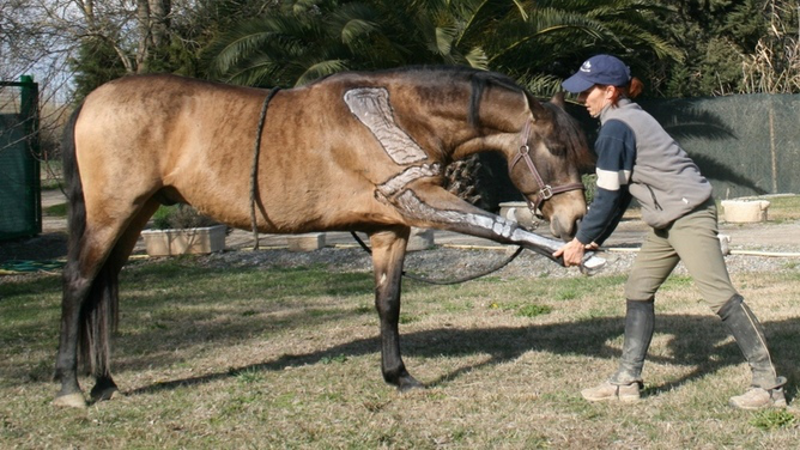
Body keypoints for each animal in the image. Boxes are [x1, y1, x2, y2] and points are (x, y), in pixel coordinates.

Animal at [54, 66, 598, 408]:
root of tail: (91, 101)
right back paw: (68, 387)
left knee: (102, 283)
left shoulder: (389, 228)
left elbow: (388, 302)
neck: (396, 113)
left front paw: (398, 375)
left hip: (135, 214)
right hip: (111, 214)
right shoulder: (417, 199)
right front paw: (578, 257)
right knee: (79, 283)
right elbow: (499, 226)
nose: (575, 219)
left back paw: (103, 382)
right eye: (553, 147)